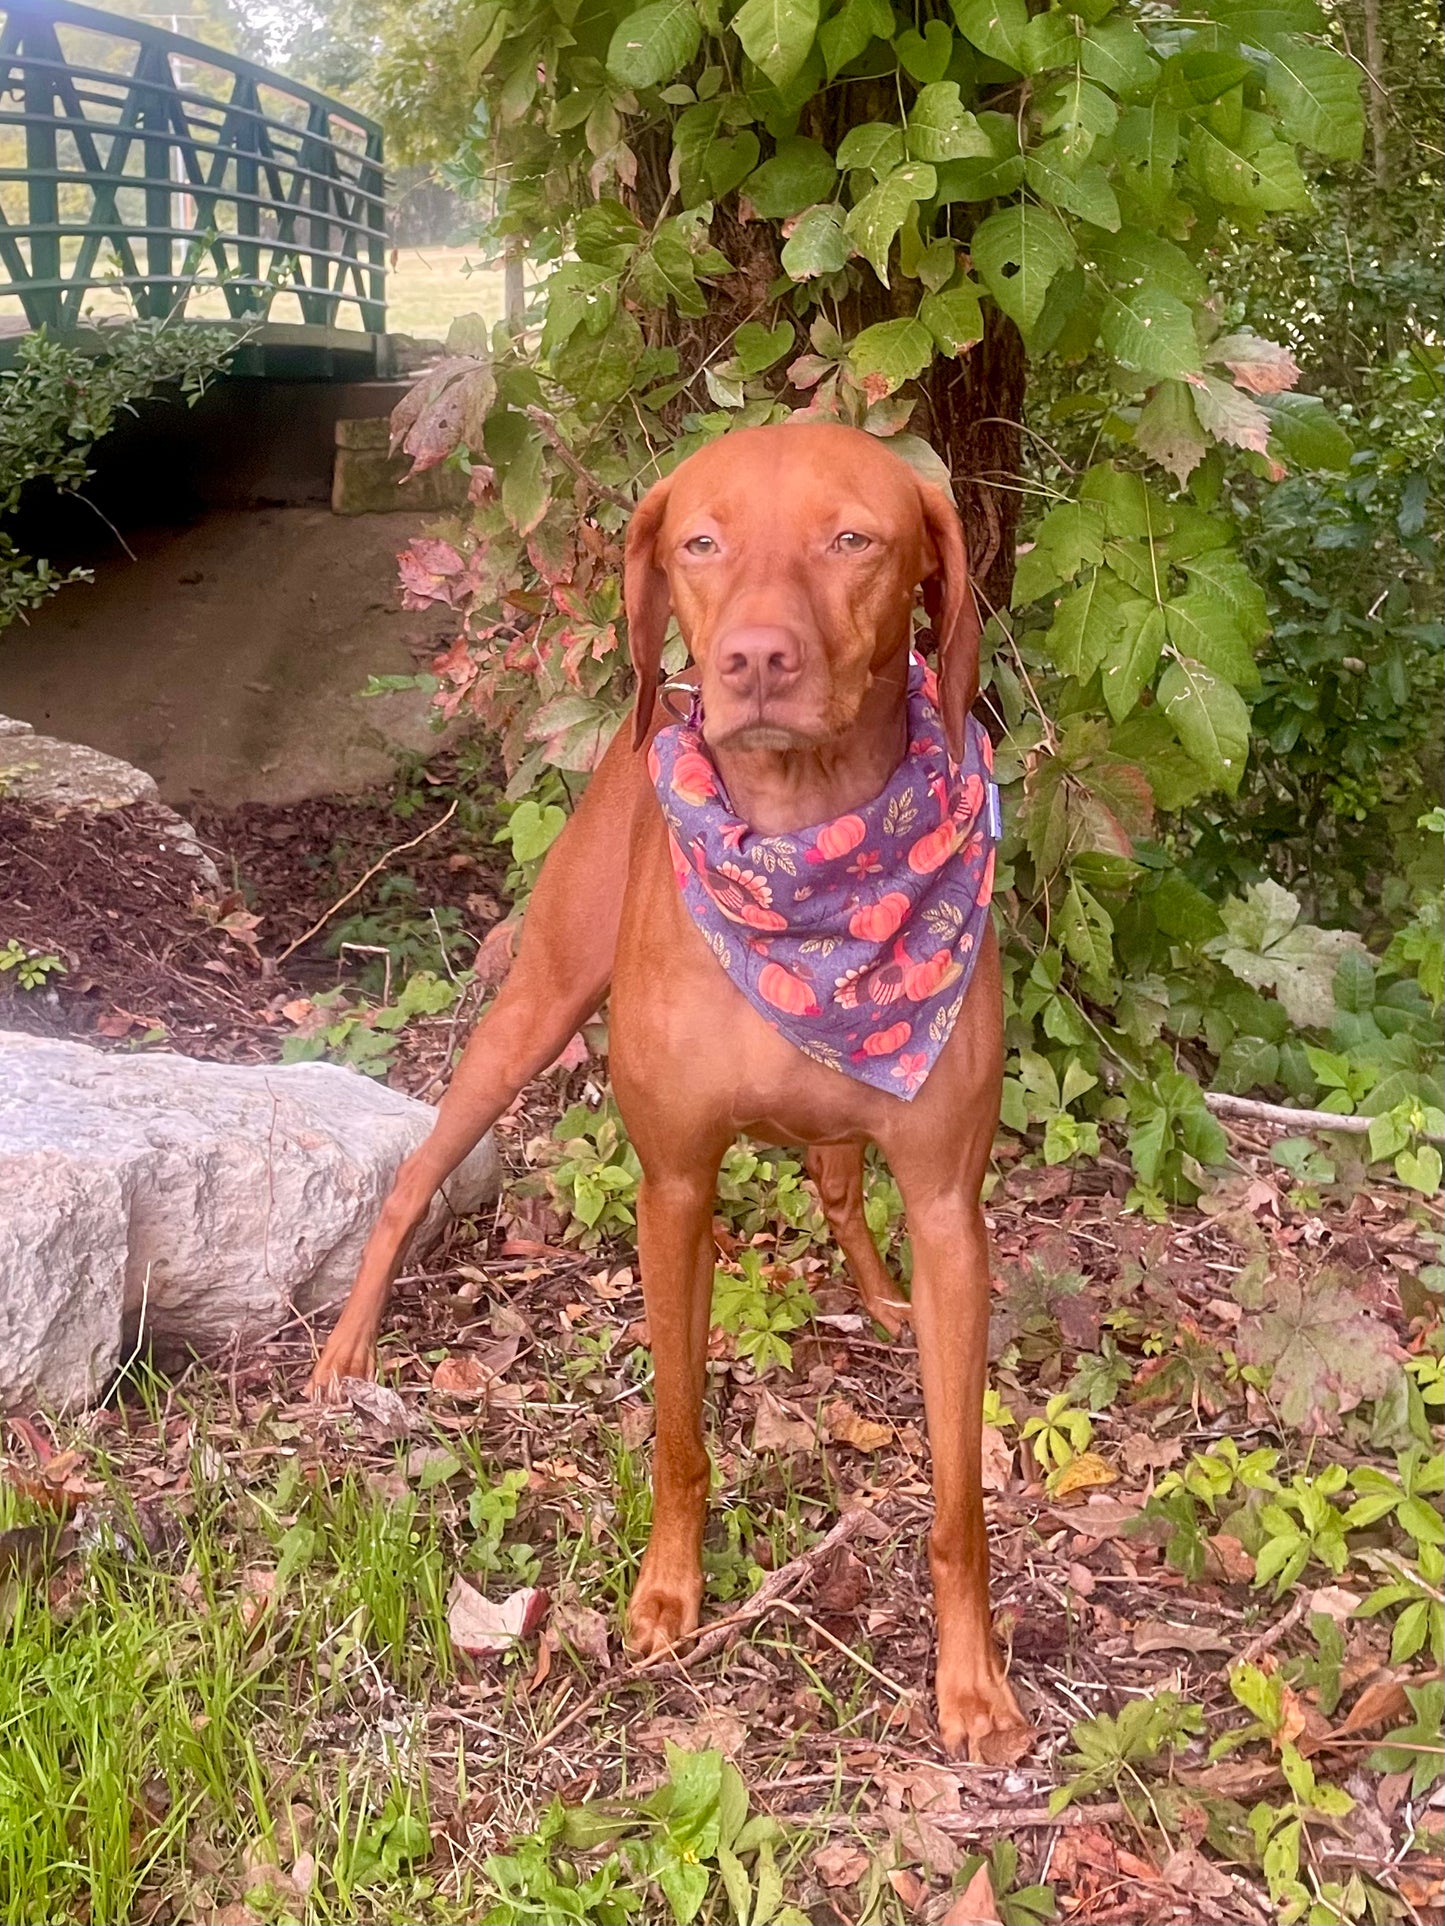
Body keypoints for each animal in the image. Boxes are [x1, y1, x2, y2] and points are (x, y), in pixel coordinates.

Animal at [306, 421, 1032, 1764]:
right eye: (700, 541)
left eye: (854, 539)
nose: (751, 659)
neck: (808, 866)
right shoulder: (674, 1182)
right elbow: (679, 1432)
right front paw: (664, 1597)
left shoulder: (950, 1209)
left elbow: (957, 1499)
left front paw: (971, 1683)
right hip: (531, 1006)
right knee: (413, 1176)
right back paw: (346, 1349)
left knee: (838, 1182)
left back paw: (878, 1294)